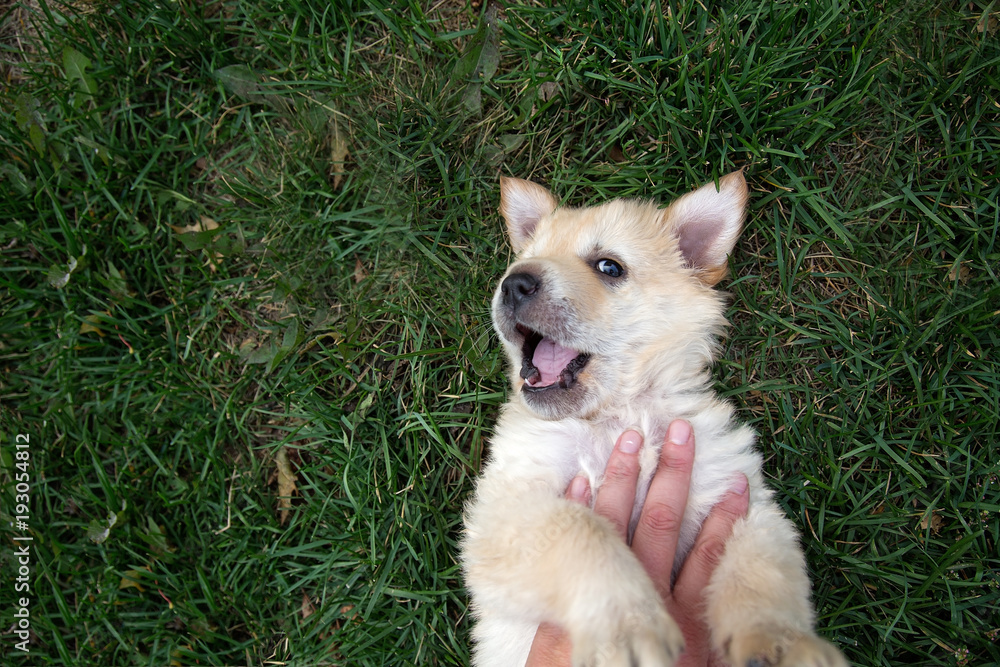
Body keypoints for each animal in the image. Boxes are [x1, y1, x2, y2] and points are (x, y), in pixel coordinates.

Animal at [458, 174, 844, 667]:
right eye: (521, 261)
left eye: (609, 267)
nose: (513, 283)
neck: (618, 414)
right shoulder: (504, 511)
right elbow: (584, 532)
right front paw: (627, 626)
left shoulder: (741, 503)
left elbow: (762, 578)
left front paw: (780, 643)